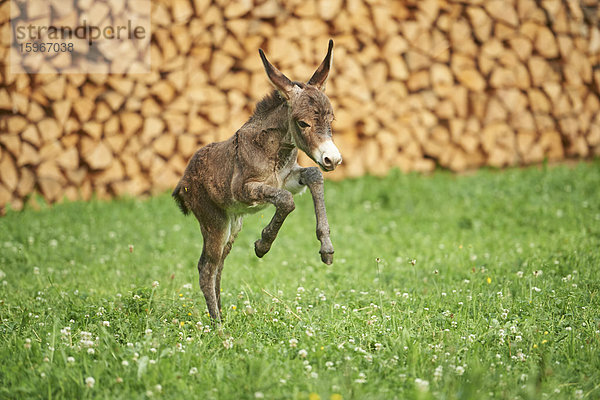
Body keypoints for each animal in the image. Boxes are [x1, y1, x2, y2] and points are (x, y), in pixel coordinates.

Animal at [172, 40, 342, 322]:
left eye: (331, 119)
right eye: (303, 123)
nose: (332, 159)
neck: (274, 149)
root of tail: (182, 184)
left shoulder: (288, 178)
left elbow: (313, 176)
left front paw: (326, 249)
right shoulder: (245, 189)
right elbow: (285, 201)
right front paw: (263, 245)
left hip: (232, 224)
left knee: (218, 266)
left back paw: (221, 314)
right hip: (213, 220)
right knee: (206, 267)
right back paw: (217, 326)